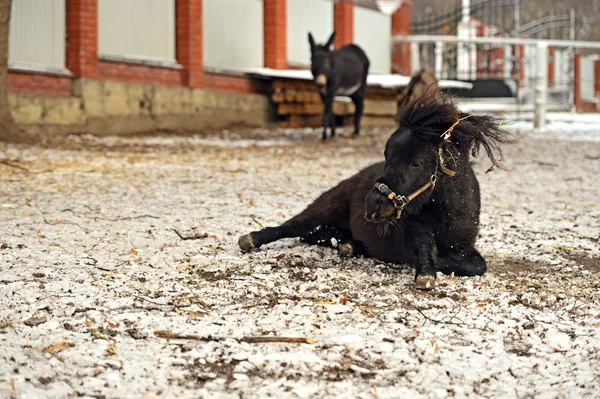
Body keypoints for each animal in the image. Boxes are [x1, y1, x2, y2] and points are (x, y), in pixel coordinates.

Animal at [239, 92, 506, 290]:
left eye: (416, 163)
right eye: (386, 156)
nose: (372, 207)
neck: (448, 217)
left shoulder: (465, 249)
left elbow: (477, 265)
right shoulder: (409, 229)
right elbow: (423, 243)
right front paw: (425, 273)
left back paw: (349, 245)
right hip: (325, 206)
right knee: (293, 226)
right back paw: (251, 239)